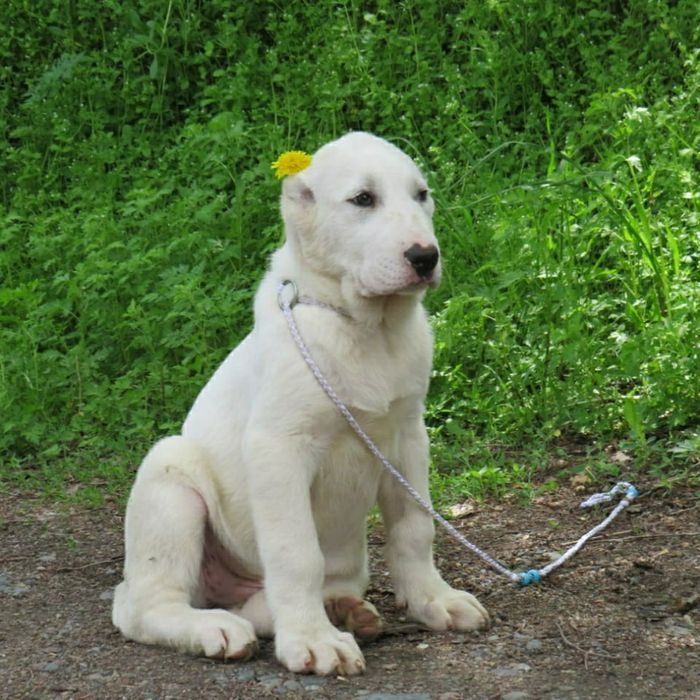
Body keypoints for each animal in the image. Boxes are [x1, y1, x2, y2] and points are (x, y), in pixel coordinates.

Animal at [113, 130, 486, 672]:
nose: (425, 257)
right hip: (171, 477)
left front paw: (433, 599)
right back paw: (216, 628)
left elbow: (415, 528)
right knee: (143, 605)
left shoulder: (407, 438)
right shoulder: (280, 447)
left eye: (421, 195)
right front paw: (312, 641)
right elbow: (297, 553)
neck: (364, 328)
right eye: (363, 199)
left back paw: (341, 610)